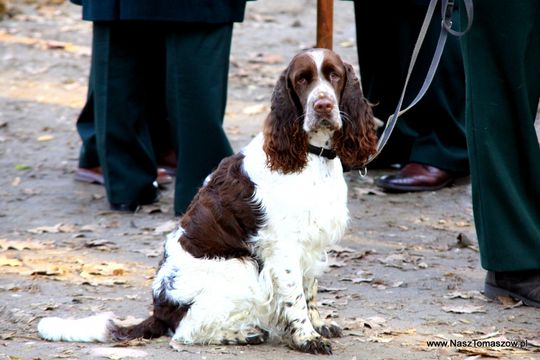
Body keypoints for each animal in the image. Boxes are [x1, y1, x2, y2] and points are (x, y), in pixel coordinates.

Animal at [38, 47, 378, 354]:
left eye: (334, 76)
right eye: (302, 79)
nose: (323, 105)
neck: (312, 156)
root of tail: (159, 311)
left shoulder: (312, 242)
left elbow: (309, 290)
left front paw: (319, 325)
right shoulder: (284, 246)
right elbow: (295, 297)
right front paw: (307, 338)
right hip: (241, 266)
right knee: (185, 332)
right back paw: (244, 335)